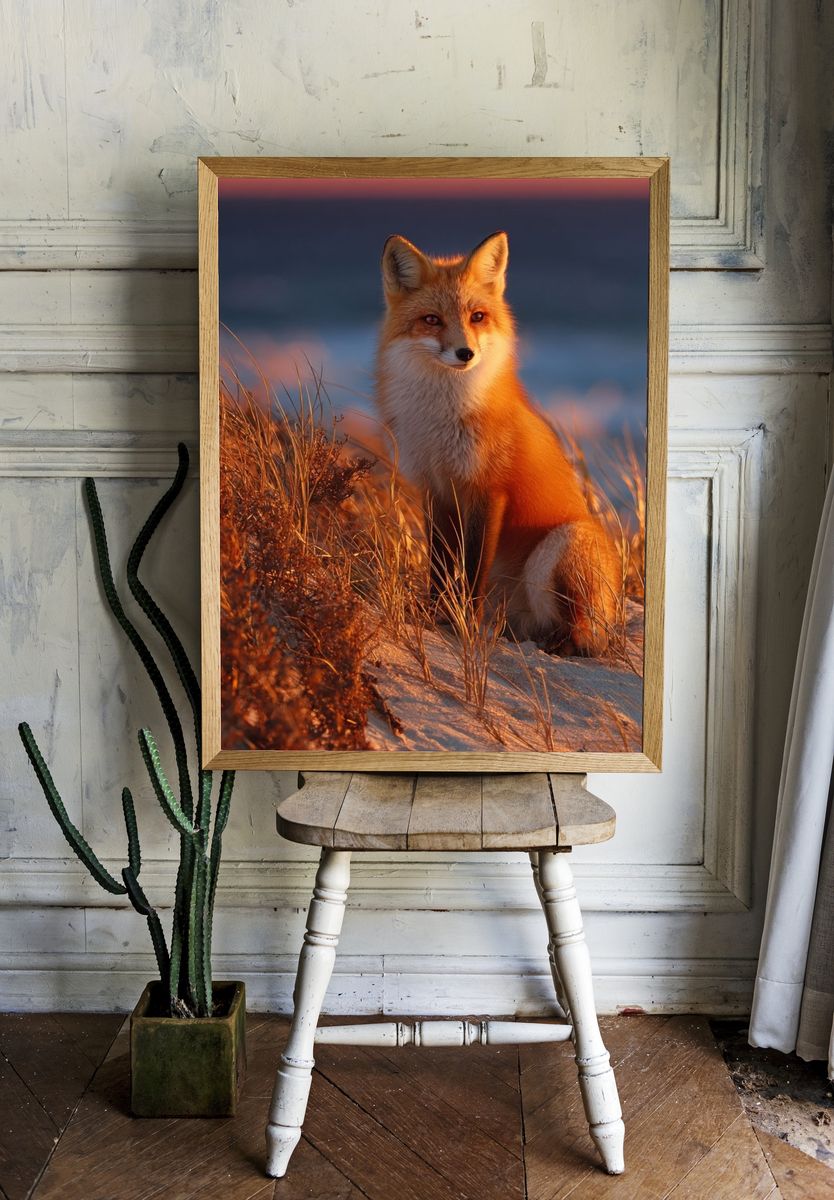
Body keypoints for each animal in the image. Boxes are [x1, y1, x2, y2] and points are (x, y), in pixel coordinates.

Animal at [375, 229, 622, 656]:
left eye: (477, 316)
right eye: (431, 320)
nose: (465, 352)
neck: (442, 421)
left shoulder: (488, 491)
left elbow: (474, 569)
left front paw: (465, 624)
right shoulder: (436, 491)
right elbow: (440, 567)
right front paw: (434, 615)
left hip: (563, 541)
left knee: (586, 640)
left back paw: (555, 643)